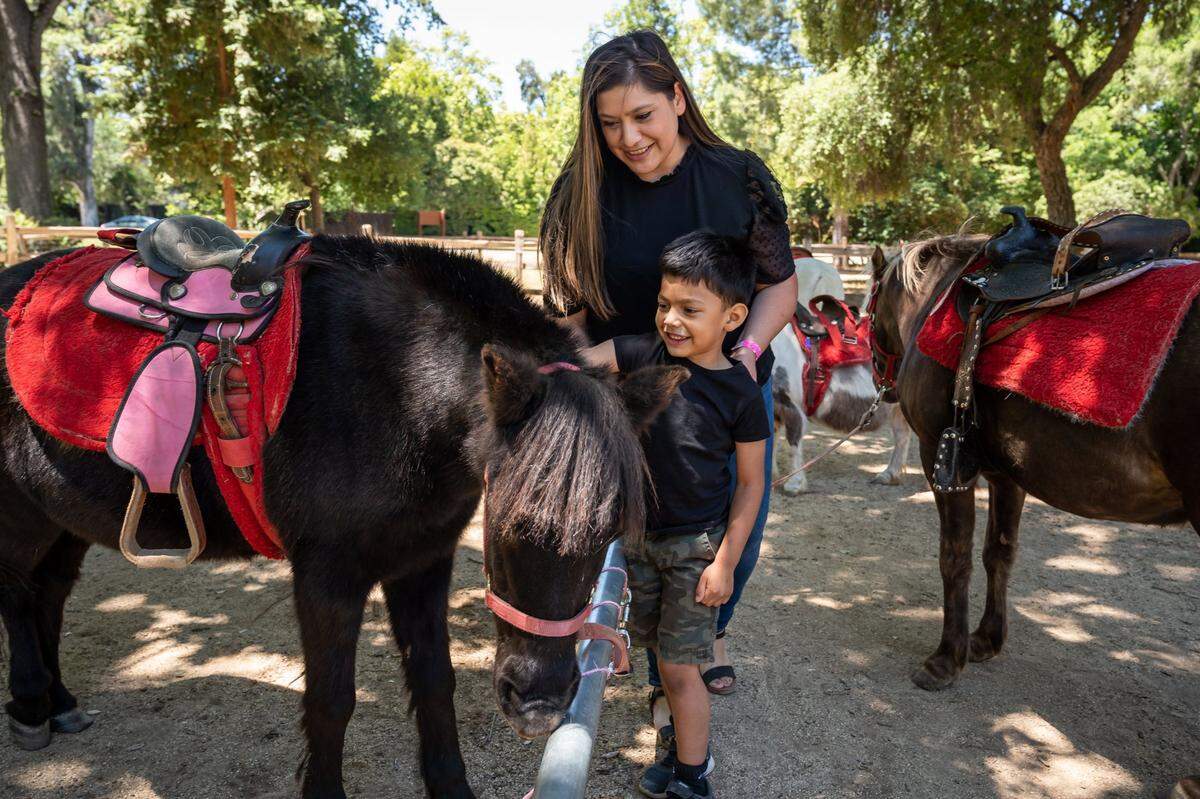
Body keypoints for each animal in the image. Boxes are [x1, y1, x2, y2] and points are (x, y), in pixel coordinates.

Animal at [0, 236, 682, 799]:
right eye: (514, 524)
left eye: (608, 533)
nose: (540, 707)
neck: (397, 390)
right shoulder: (327, 576)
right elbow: (331, 700)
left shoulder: (422, 562)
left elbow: (434, 681)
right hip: (20, 517)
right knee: (17, 597)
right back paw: (31, 707)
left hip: (64, 520)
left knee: (48, 597)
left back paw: (60, 702)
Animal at [866, 238, 1200, 695]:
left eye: (865, 312)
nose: (883, 384)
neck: (935, 300)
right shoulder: (1008, 476)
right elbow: (998, 553)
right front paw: (986, 638)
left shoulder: (943, 460)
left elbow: (955, 556)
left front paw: (946, 658)